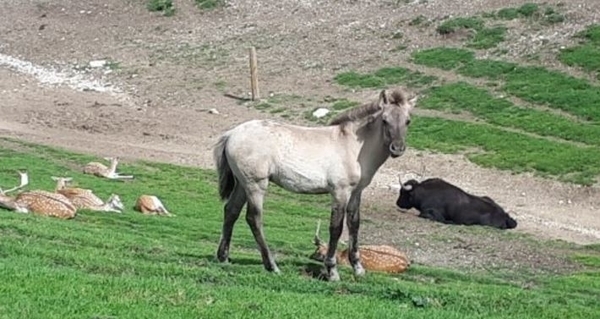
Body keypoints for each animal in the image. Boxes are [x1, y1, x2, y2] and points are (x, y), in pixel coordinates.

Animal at [214, 89, 418, 282]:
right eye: (384, 120)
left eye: (408, 121)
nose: (397, 148)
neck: (352, 146)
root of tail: (231, 134)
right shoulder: (340, 192)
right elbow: (336, 228)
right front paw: (332, 271)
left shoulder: (356, 192)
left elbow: (354, 224)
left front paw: (358, 269)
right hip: (255, 185)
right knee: (253, 218)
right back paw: (272, 266)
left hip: (242, 184)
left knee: (231, 211)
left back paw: (224, 257)